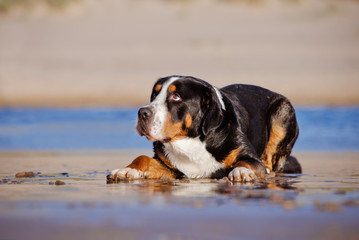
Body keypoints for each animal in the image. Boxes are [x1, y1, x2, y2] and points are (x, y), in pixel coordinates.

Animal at [108, 75, 302, 182]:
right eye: (155, 94)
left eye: (176, 96)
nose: (142, 112)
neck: (190, 142)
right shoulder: (170, 167)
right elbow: (142, 158)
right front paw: (127, 170)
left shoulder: (250, 156)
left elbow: (246, 161)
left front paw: (241, 171)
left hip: (282, 113)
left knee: (270, 163)